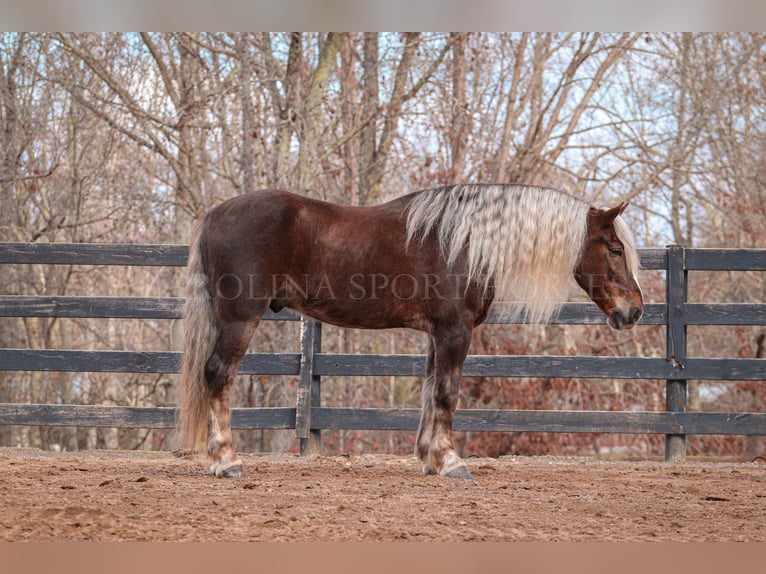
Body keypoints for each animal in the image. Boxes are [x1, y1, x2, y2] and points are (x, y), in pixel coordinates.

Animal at [177, 186, 644, 482]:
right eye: (615, 249)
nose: (635, 311)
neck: (466, 244)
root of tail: (213, 214)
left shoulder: (437, 335)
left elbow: (430, 392)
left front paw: (429, 459)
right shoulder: (455, 332)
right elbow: (447, 394)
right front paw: (451, 462)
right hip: (240, 319)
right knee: (218, 375)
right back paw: (227, 461)